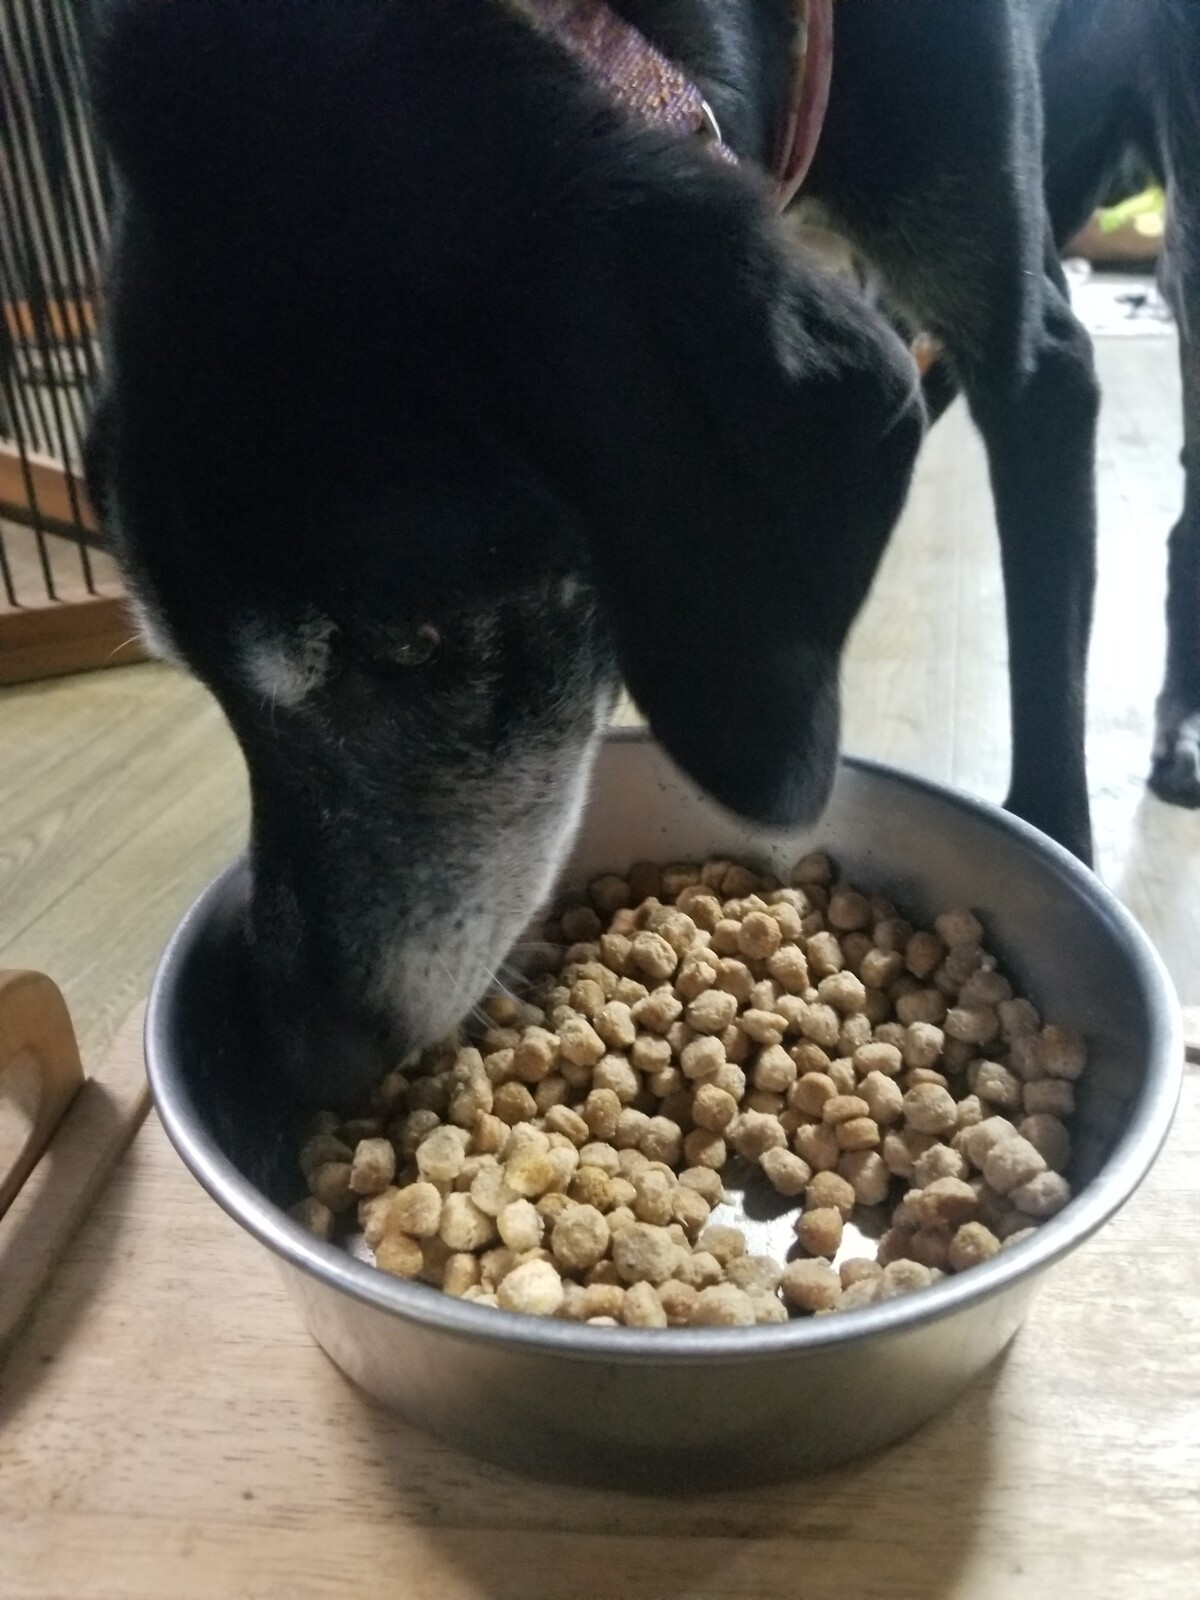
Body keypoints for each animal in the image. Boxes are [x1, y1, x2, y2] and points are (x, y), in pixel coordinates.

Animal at [83, 0, 1195, 1101]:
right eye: (199, 679)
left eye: (404, 645)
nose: (298, 1054)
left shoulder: (1040, 367)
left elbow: (1047, 674)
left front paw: (1058, 845)